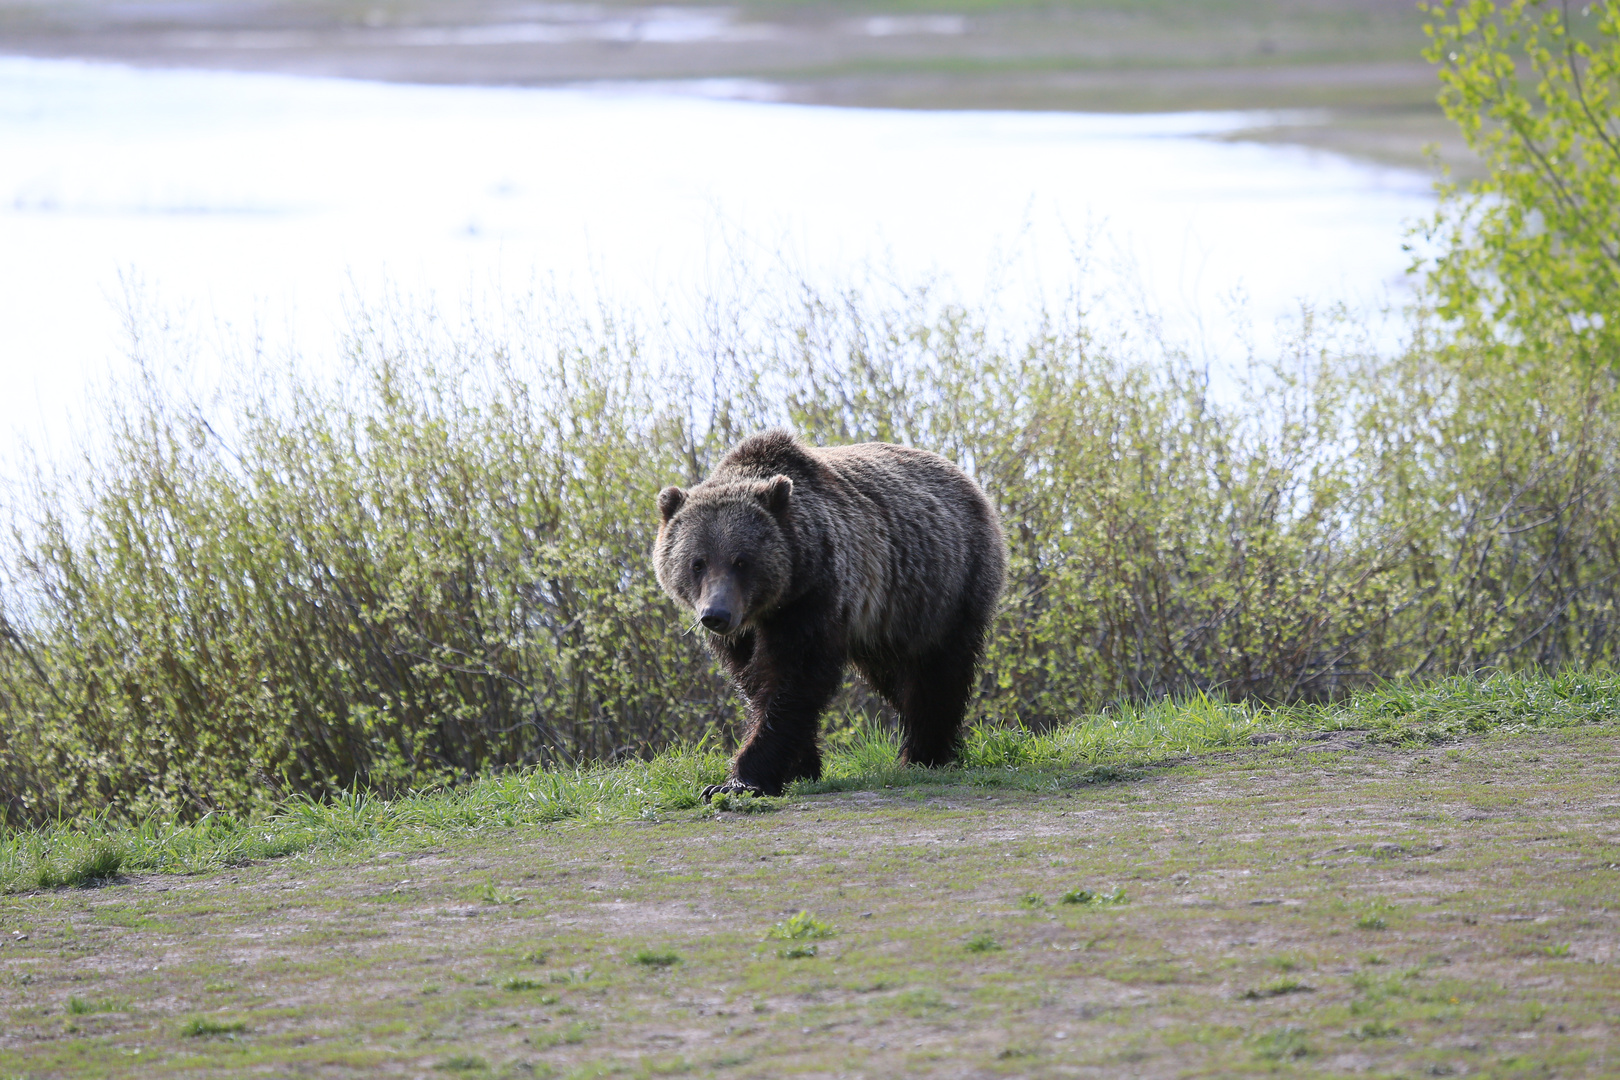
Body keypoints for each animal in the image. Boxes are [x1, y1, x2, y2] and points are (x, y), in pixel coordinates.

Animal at [654, 427, 1004, 799]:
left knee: (938, 673)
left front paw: (739, 780)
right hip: (886, 622)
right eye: (697, 563)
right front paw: (800, 766)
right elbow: (753, 680)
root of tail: (969, 481)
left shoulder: (815, 596)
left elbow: (793, 680)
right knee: (897, 678)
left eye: (741, 561)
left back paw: (926, 753)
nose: (716, 614)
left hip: (945, 587)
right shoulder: (744, 636)